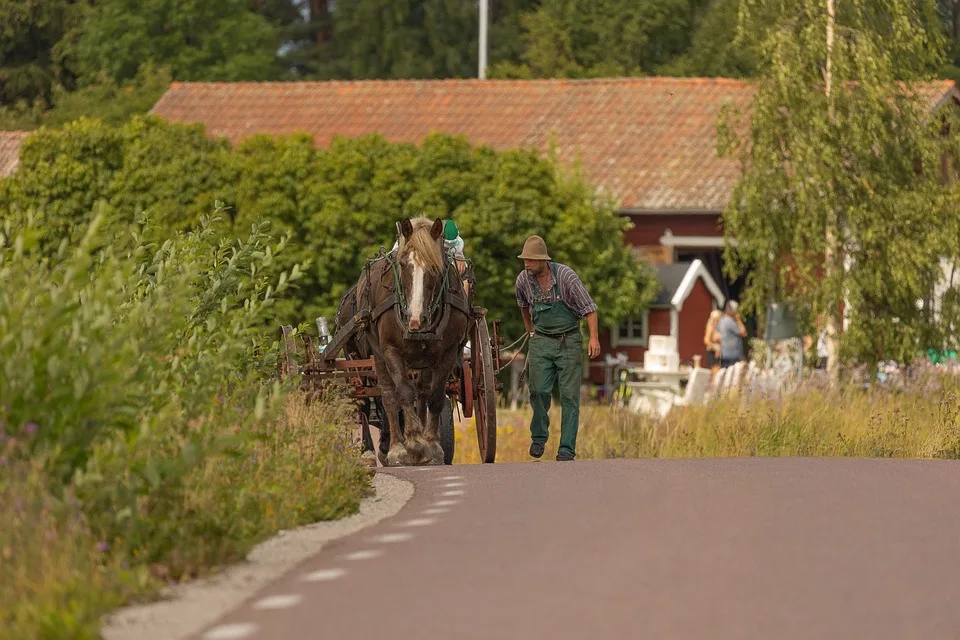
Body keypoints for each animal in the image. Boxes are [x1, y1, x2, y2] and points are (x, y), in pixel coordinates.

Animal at [334, 215, 472, 464]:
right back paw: (378, 449)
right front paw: (412, 443)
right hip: (363, 358)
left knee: (420, 393)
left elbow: (434, 396)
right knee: (378, 398)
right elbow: (402, 394)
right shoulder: (390, 351)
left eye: (436, 268)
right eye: (402, 264)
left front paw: (431, 445)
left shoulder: (447, 353)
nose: (415, 320)